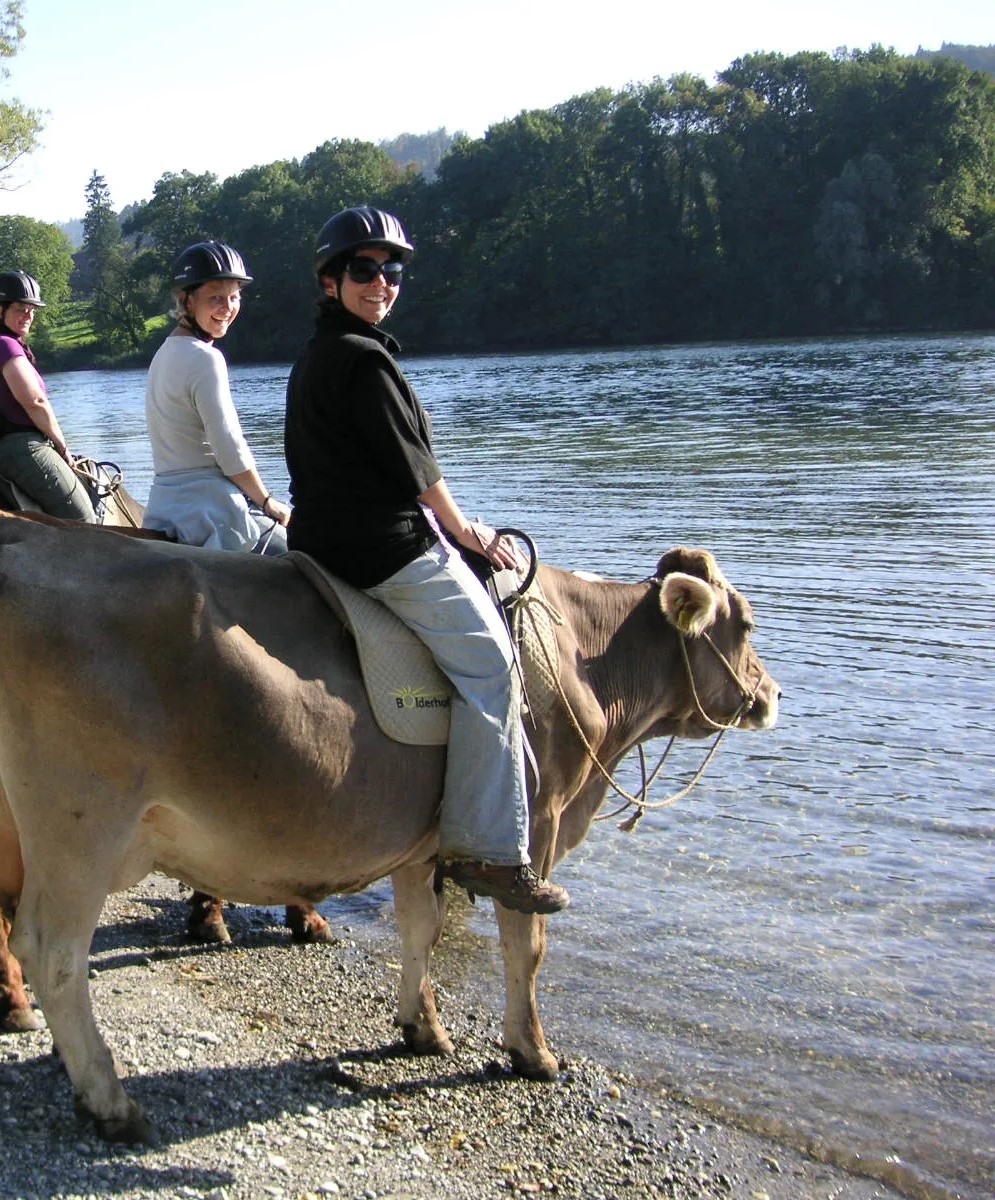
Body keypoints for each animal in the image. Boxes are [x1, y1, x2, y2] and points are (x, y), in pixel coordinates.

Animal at [0, 511, 777, 1137]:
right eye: (744, 626)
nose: (769, 694)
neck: (587, 666)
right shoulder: (538, 825)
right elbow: (527, 946)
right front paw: (533, 1052)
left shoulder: (420, 842)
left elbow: (419, 929)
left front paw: (421, 1027)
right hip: (81, 824)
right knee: (52, 952)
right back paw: (110, 1101)